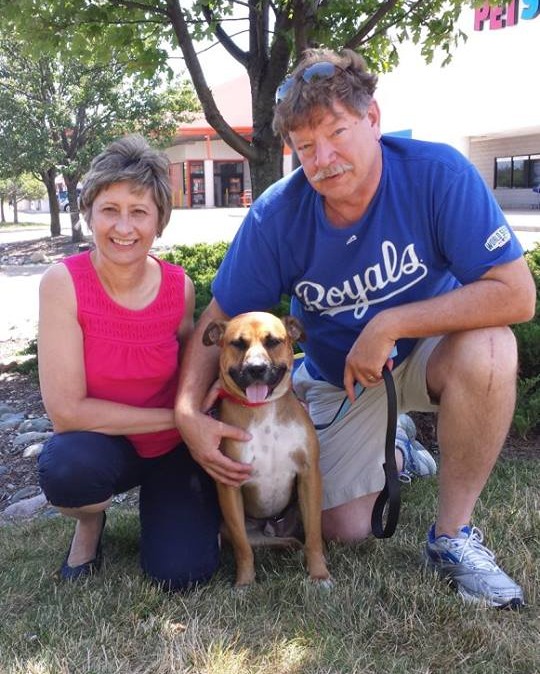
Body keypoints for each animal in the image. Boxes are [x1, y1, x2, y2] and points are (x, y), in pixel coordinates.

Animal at [202, 312, 330, 584]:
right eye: (237, 344)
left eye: (273, 341)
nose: (256, 368)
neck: (263, 410)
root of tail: (272, 525)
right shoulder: (230, 486)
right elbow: (242, 548)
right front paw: (245, 581)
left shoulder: (309, 476)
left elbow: (313, 536)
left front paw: (319, 574)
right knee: (273, 542)